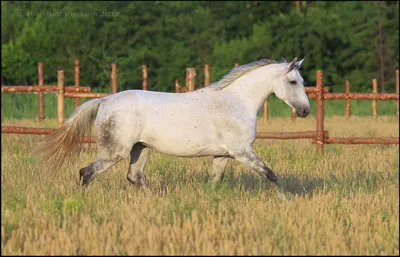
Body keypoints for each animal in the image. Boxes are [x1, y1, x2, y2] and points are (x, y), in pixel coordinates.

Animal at [38, 57, 310, 199]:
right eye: (292, 81)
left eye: (302, 81)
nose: (306, 111)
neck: (236, 102)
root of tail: (104, 100)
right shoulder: (242, 152)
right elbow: (270, 174)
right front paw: (286, 201)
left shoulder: (223, 155)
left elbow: (215, 180)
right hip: (114, 152)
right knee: (87, 172)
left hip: (140, 149)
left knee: (134, 176)